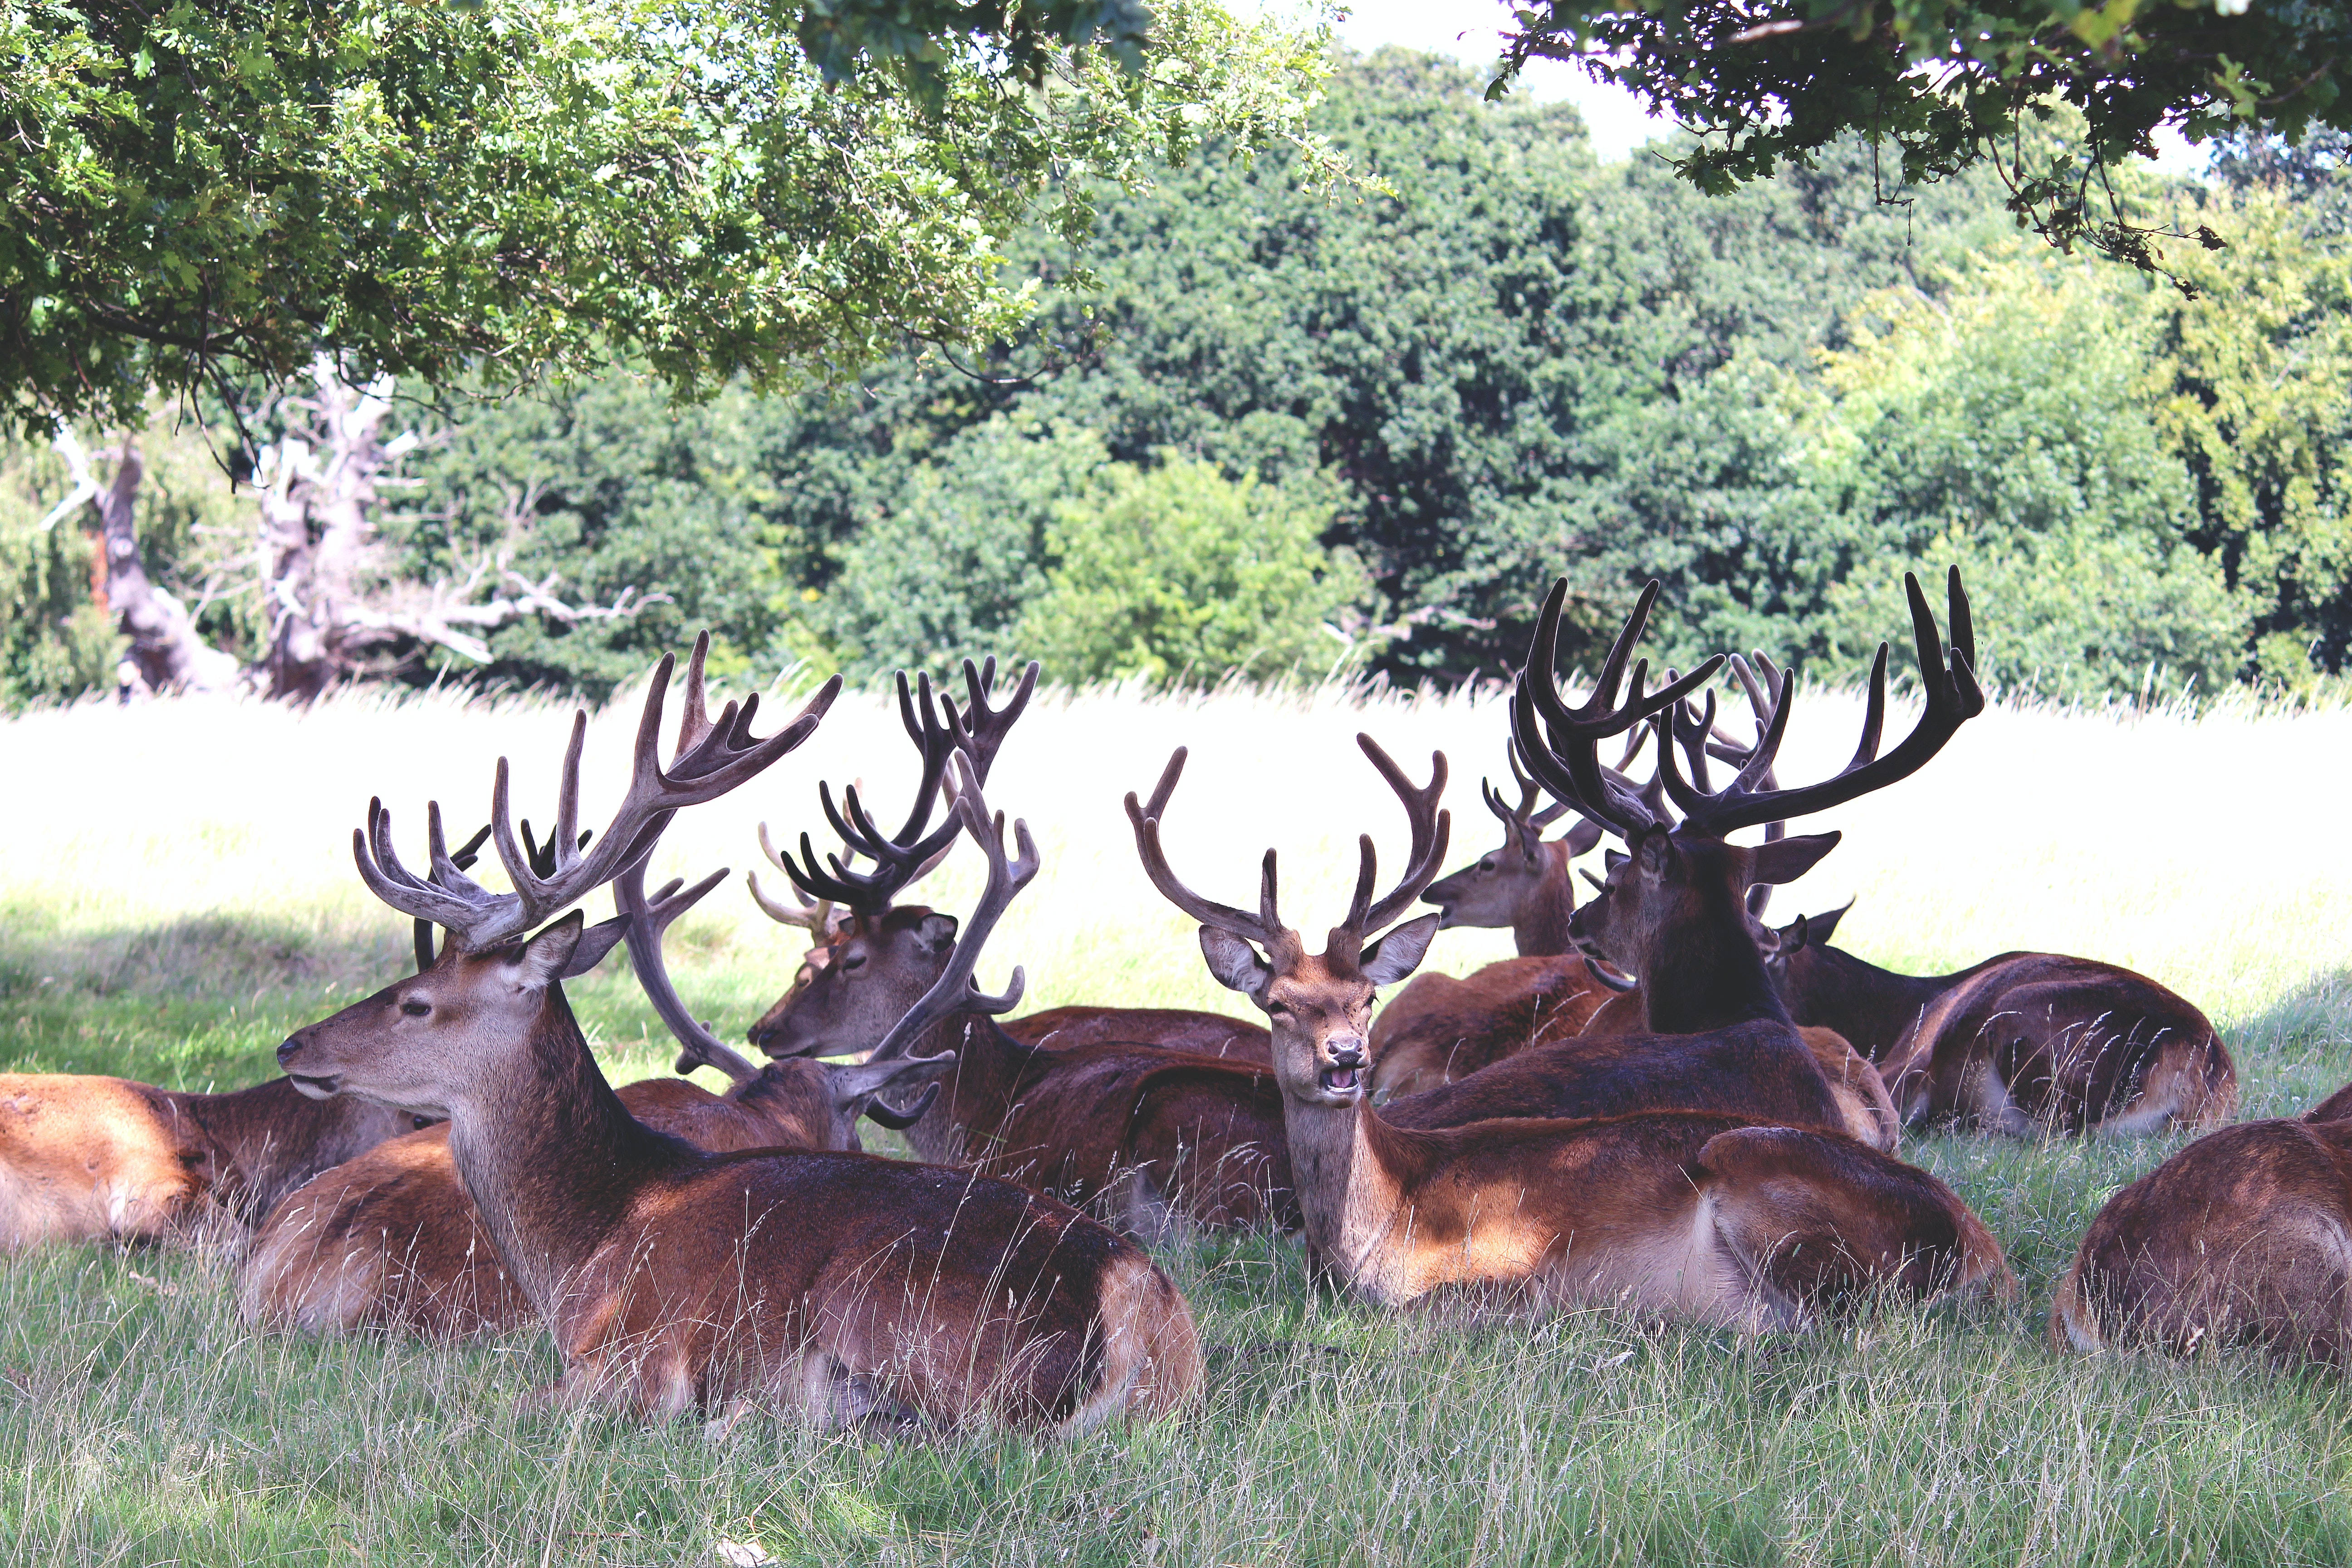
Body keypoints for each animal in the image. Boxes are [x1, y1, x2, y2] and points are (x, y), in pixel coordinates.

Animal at [273, 644, 1195, 1429]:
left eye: (416, 1003)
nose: (293, 1047)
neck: (582, 1251)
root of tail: (1135, 1298)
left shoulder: (633, 1357)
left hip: (889, 1308)